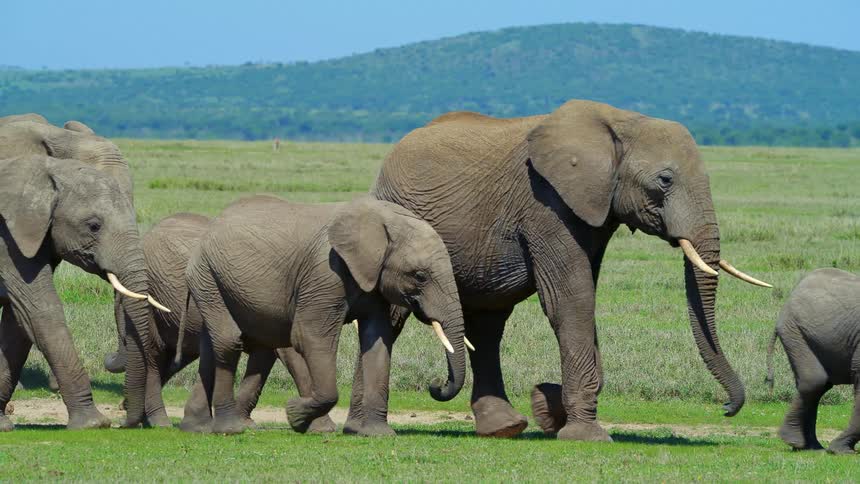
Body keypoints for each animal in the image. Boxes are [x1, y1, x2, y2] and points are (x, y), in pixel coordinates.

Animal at [0, 155, 165, 430]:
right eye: (94, 226)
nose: (126, 422)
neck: (48, 170)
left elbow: (18, 321)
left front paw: (2, 425)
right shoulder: (7, 242)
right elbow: (40, 310)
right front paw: (93, 424)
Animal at [108, 212, 335, 432]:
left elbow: (264, 359)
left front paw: (245, 424)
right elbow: (291, 356)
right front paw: (322, 428)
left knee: (170, 357)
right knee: (155, 354)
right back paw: (158, 422)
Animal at [181, 195, 468, 435]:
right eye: (419, 276)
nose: (436, 384)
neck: (383, 220)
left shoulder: (372, 279)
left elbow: (377, 341)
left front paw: (378, 434)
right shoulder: (325, 273)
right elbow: (310, 336)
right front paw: (295, 415)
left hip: (214, 280)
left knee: (212, 347)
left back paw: (198, 428)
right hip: (208, 275)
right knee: (228, 342)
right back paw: (230, 429)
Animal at [372, 99, 771, 440]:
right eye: (665, 180)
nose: (726, 407)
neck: (622, 122)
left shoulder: (593, 208)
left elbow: (582, 295)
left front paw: (547, 409)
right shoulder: (546, 204)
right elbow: (570, 299)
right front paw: (585, 434)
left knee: (487, 324)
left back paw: (505, 427)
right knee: (395, 316)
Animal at [765, 268, 860, 454]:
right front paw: (842, 452)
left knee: (817, 386)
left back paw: (809, 446)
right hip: (795, 331)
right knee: (814, 382)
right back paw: (798, 443)